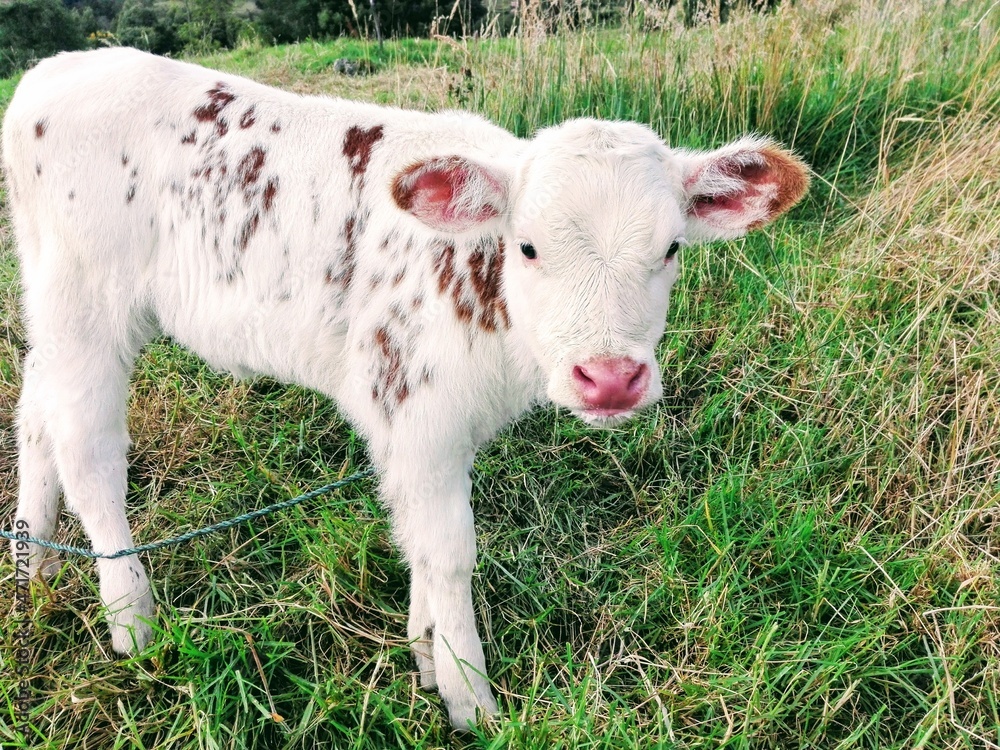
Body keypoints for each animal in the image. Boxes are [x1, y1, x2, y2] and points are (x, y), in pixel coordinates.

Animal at [3, 47, 809, 729]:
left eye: (671, 248)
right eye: (527, 246)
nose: (609, 378)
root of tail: (56, 69)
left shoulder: (430, 430)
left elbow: (419, 539)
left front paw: (426, 649)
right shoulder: (415, 409)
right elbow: (448, 549)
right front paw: (468, 694)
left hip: (52, 301)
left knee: (35, 404)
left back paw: (34, 563)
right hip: (87, 303)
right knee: (88, 448)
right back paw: (131, 617)